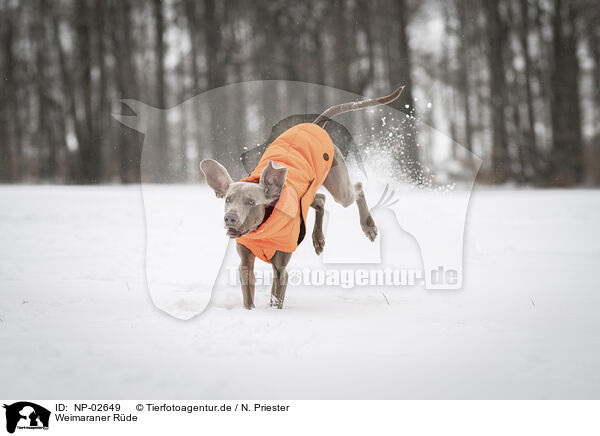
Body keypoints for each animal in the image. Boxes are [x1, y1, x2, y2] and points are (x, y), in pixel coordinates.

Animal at [200, 86, 404, 310]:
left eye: (251, 202)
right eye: (228, 199)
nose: (230, 218)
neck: (262, 229)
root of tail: (314, 125)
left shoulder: (281, 268)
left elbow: (276, 295)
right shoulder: (245, 263)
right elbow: (248, 293)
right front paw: (250, 312)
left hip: (339, 186)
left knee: (356, 188)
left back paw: (368, 226)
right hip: (307, 195)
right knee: (321, 199)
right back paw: (318, 239)